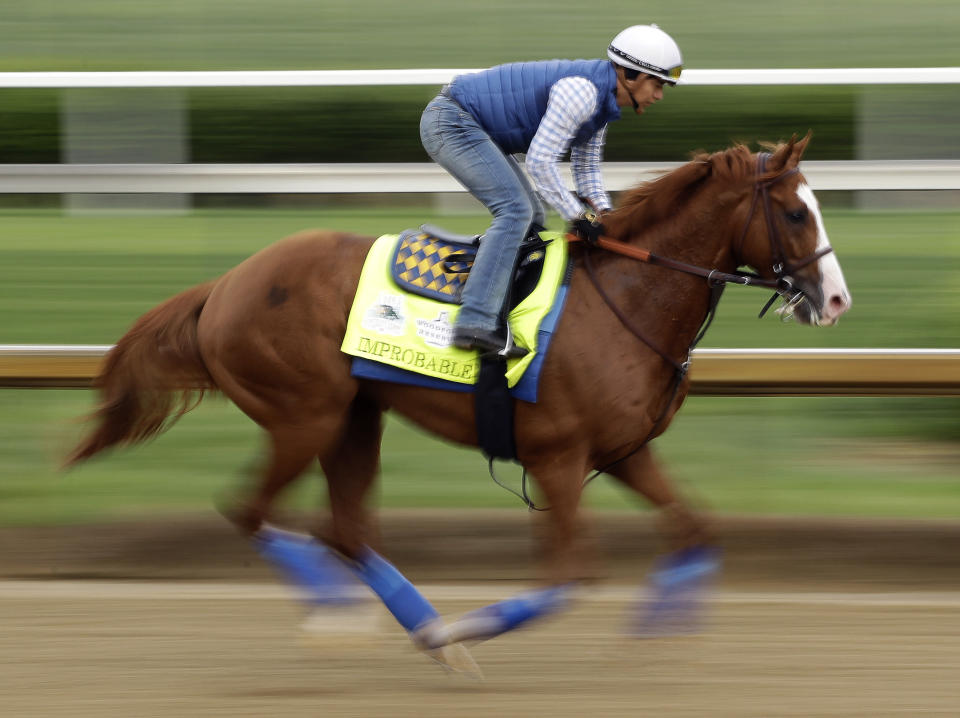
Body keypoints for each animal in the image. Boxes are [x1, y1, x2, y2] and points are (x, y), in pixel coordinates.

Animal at [63, 132, 852, 672]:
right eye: (793, 212)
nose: (837, 300)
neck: (625, 300)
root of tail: (224, 284)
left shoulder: (626, 451)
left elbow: (696, 529)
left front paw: (659, 634)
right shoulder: (558, 457)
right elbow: (571, 575)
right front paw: (468, 628)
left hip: (355, 416)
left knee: (345, 529)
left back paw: (419, 631)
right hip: (303, 414)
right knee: (254, 511)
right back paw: (357, 619)